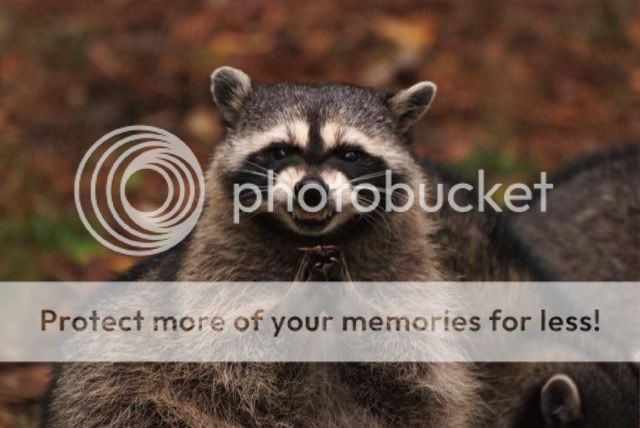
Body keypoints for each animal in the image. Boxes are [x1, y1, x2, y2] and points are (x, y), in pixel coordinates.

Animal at [48, 67, 481, 427]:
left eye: (350, 154)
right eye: (280, 150)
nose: (311, 191)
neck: (309, 239)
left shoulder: (405, 265)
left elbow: (417, 376)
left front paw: (356, 306)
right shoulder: (215, 266)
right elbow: (230, 357)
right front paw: (290, 307)